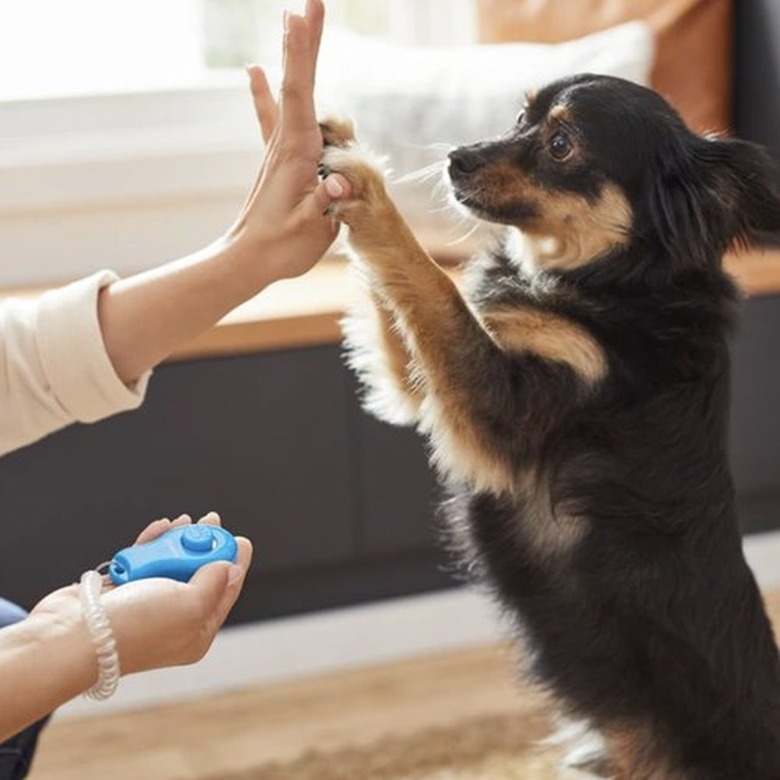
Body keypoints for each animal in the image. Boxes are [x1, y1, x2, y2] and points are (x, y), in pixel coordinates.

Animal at [320, 74, 780, 780]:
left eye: (561, 144)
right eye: (521, 117)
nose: (457, 158)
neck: (610, 280)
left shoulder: (502, 411)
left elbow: (433, 284)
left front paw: (369, 190)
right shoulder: (425, 388)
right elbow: (412, 297)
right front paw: (338, 137)